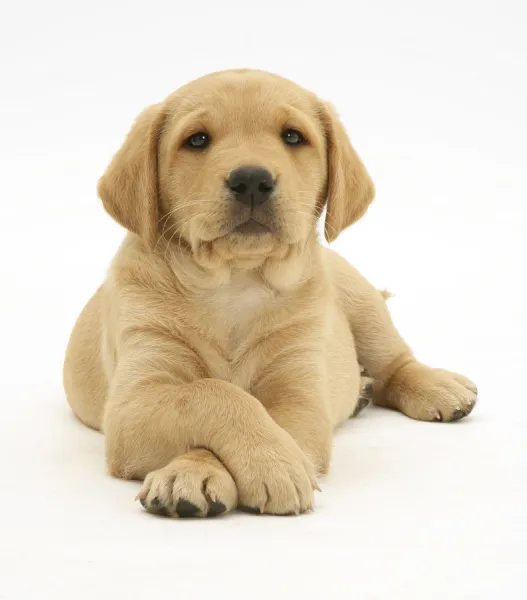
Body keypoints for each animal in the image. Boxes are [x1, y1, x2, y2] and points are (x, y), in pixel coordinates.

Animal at [63, 68, 478, 516]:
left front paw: (253, 464)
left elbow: (243, 405)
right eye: (197, 140)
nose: (251, 179)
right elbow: (213, 394)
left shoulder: (300, 398)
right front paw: (200, 471)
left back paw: (434, 386)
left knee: (395, 362)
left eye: (293, 136)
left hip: (360, 299)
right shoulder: (132, 403)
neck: (236, 282)